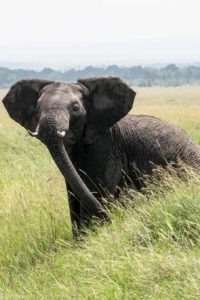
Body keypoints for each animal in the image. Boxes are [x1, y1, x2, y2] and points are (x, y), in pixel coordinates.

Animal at [2, 77, 200, 234]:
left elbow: (95, 191)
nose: (115, 219)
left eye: (75, 108)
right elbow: (74, 195)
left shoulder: (105, 146)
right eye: (37, 108)